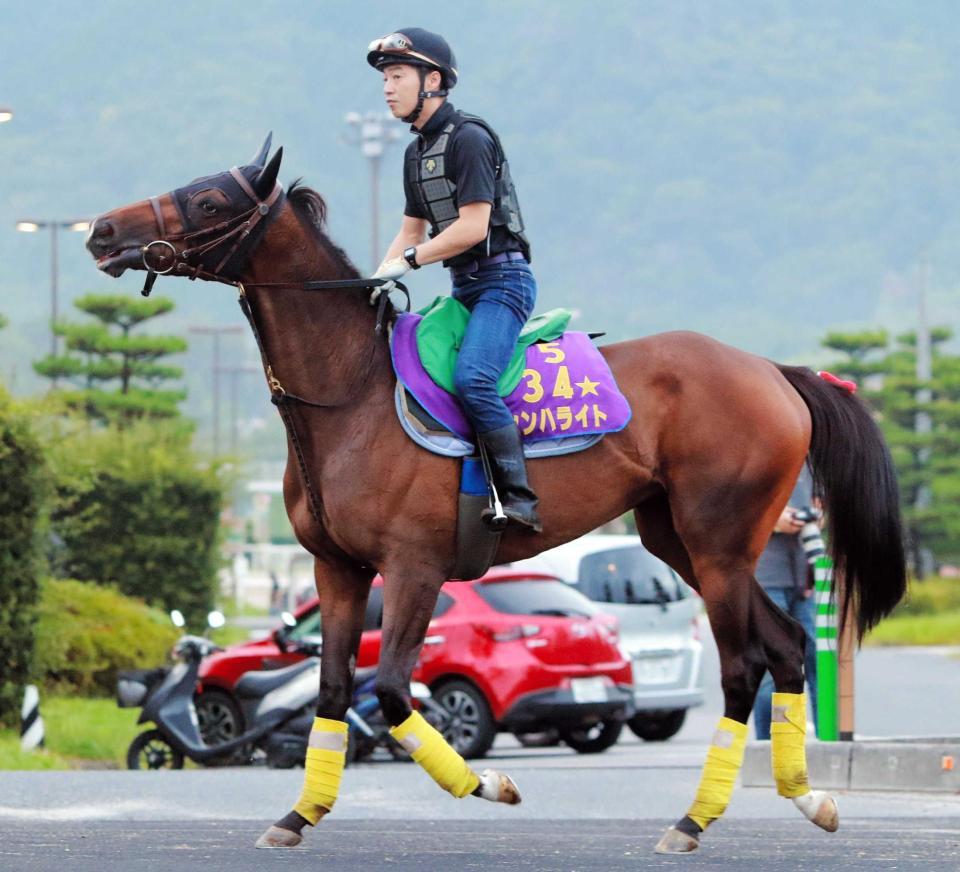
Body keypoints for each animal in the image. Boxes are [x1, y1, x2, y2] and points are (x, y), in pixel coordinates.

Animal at [84, 140, 908, 856]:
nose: (102, 229)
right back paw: (808, 797)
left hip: (721, 546)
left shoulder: (413, 568)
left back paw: (692, 821)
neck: (352, 393)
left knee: (743, 669)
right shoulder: (337, 570)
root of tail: (773, 371)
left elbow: (391, 693)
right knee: (788, 647)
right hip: (679, 540)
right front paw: (298, 813)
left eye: (208, 198)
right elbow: (331, 690)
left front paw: (489, 783)